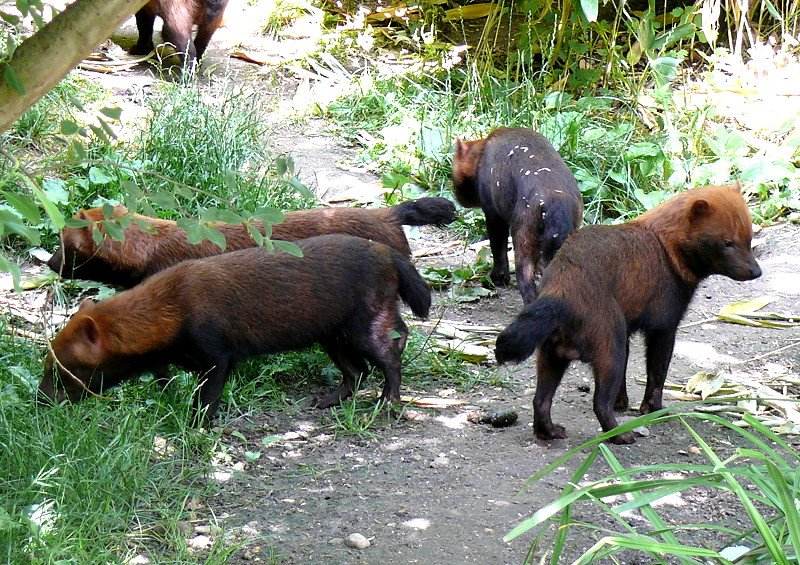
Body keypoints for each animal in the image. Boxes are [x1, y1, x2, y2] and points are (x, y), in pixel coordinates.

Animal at [39, 234, 432, 424]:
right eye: (47, 363)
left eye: (62, 370)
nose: (40, 400)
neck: (172, 306)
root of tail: (387, 253)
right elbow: (165, 378)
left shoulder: (216, 353)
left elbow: (207, 396)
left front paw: (197, 425)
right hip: (332, 336)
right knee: (357, 370)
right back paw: (328, 399)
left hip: (367, 320)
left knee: (393, 349)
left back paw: (387, 402)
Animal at [454, 126, 584, 304]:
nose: (456, 197)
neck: (481, 152)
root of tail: (556, 203)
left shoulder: (493, 212)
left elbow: (498, 247)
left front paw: (498, 278)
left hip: (523, 233)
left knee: (527, 282)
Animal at [494, 183, 764, 442]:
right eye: (727, 242)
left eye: (749, 236)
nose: (756, 271)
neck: (664, 247)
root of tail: (560, 290)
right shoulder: (664, 324)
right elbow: (657, 372)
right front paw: (654, 409)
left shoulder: (628, 329)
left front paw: (622, 402)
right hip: (608, 340)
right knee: (599, 402)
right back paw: (622, 435)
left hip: (551, 351)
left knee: (541, 400)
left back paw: (551, 431)